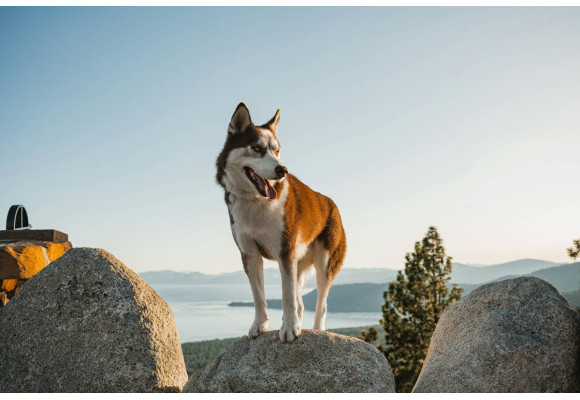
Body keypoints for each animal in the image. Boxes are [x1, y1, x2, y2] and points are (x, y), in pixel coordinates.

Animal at [216, 101, 344, 342]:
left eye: (276, 150)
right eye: (257, 149)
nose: (282, 169)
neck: (256, 202)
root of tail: (331, 203)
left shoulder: (284, 250)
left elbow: (287, 297)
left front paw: (290, 328)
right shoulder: (250, 254)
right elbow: (259, 296)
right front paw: (260, 324)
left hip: (324, 263)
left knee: (321, 304)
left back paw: (318, 329)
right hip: (299, 264)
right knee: (301, 302)